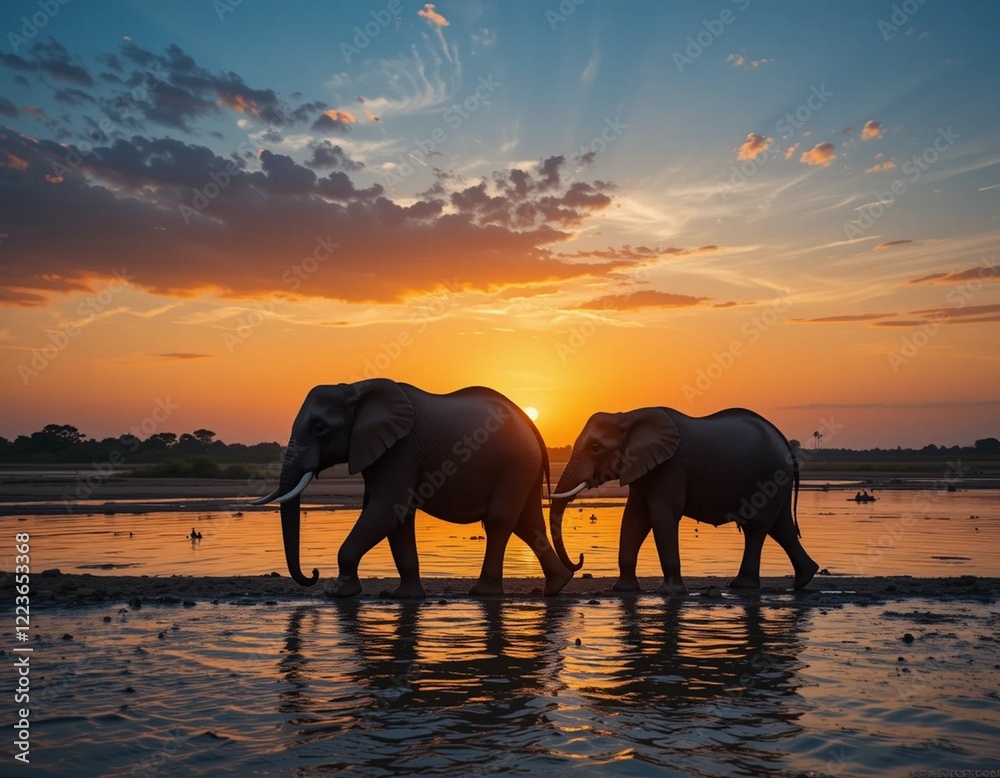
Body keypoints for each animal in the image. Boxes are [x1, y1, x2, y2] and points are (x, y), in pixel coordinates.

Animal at [253, 379, 574, 598]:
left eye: (319, 428)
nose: (314, 574)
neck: (355, 389)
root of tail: (532, 427)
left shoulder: (401, 450)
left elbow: (386, 509)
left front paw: (338, 593)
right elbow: (397, 516)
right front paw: (406, 597)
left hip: (515, 463)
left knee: (499, 520)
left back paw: (483, 592)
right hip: (523, 467)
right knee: (527, 522)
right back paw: (556, 586)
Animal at [548, 407, 819, 594]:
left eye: (596, 448)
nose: (581, 557)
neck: (627, 417)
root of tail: (782, 438)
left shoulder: (671, 468)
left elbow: (662, 516)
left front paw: (669, 592)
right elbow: (634, 519)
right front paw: (622, 590)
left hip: (769, 474)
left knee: (757, 527)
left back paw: (743, 585)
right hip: (776, 478)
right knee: (781, 527)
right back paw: (804, 578)